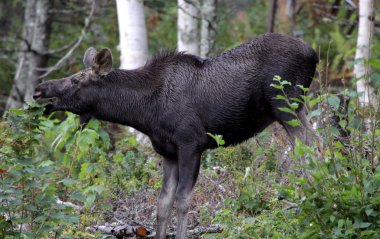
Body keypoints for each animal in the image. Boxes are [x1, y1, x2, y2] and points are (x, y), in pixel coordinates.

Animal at [33, 32, 318, 238]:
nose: (38, 90)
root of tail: (314, 53)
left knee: (308, 147)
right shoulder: (167, 152)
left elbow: (182, 199)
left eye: (76, 81)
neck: (144, 112)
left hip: (285, 104)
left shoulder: (191, 143)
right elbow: (163, 202)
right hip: (297, 107)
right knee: (318, 140)